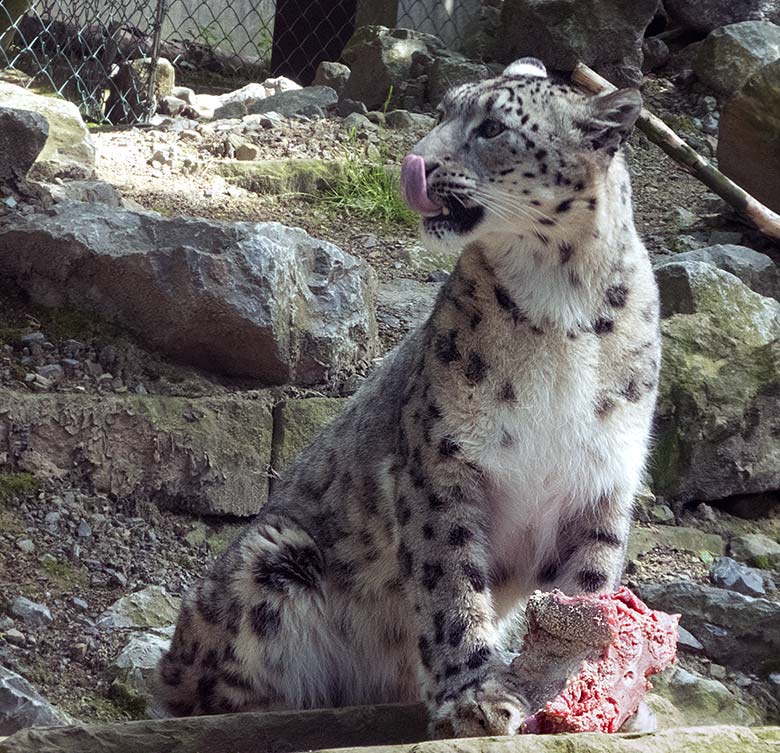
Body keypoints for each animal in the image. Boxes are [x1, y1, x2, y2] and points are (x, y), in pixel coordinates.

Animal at [155, 57, 660, 736]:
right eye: (444, 111)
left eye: (494, 127)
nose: (414, 160)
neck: (562, 304)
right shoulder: (443, 464)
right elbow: (451, 582)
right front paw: (473, 697)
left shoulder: (603, 479)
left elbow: (585, 590)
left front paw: (570, 694)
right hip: (271, 558)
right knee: (201, 688)